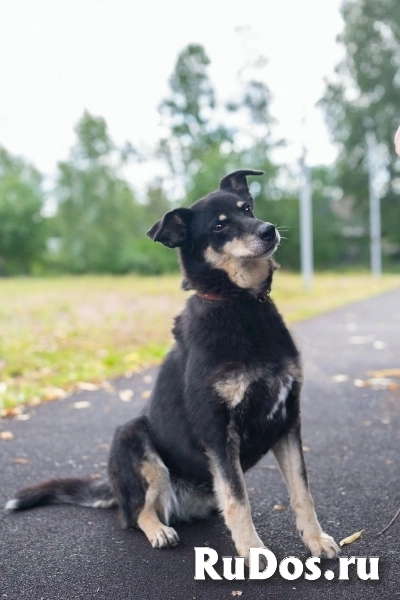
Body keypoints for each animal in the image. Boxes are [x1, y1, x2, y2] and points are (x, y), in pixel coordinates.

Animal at [5, 169, 338, 564]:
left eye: (247, 208)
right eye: (219, 226)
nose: (268, 230)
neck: (239, 303)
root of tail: (114, 488)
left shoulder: (287, 419)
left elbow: (302, 491)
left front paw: (316, 539)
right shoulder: (217, 430)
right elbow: (238, 499)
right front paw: (254, 551)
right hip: (134, 439)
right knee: (137, 514)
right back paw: (159, 530)